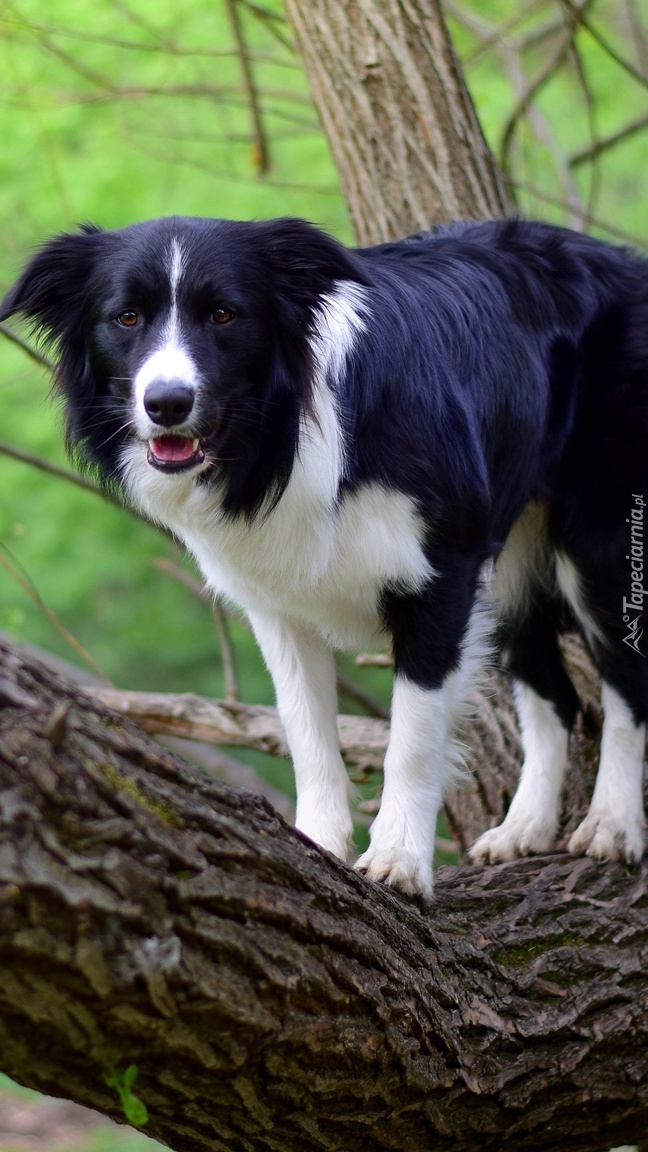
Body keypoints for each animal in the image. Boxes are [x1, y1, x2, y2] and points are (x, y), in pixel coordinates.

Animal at [1, 217, 645, 898]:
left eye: (224, 314)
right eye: (126, 317)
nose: (167, 404)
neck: (277, 435)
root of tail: (624, 262)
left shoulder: (441, 572)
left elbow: (413, 736)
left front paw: (397, 861)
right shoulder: (277, 602)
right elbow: (305, 727)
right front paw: (317, 846)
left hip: (598, 535)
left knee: (625, 678)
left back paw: (612, 826)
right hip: (512, 559)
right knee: (557, 694)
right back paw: (525, 829)